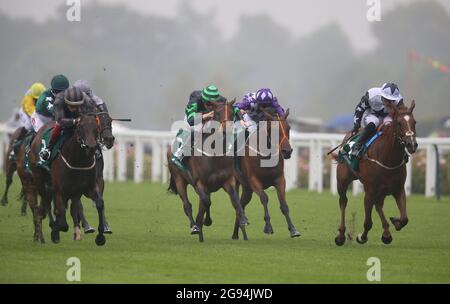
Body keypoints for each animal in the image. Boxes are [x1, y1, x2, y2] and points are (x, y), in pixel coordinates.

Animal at [167, 100, 250, 242]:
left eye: (231, 113)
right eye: (217, 113)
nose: (226, 129)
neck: (215, 155)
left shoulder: (228, 181)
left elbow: (235, 200)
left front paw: (243, 220)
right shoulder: (199, 183)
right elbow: (206, 202)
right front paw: (204, 222)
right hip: (179, 179)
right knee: (187, 205)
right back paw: (195, 227)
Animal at [232, 108, 302, 239]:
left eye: (288, 128)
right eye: (273, 129)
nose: (287, 151)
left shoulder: (280, 179)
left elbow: (283, 204)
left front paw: (293, 229)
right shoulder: (254, 180)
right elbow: (264, 198)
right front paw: (268, 226)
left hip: (247, 189)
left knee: (241, 205)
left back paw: (235, 233)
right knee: (237, 204)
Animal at [334, 101, 418, 246]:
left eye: (414, 122)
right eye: (399, 123)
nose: (411, 144)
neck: (388, 158)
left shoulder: (398, 189)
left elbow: (404, 218)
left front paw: (395, 222)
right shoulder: (370, 191)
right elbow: (368, 222)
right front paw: (361, 237)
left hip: (382, 191)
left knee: (378, 205)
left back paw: (386, 233)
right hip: (342, 181)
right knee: (343, 201)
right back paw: (341, 235)